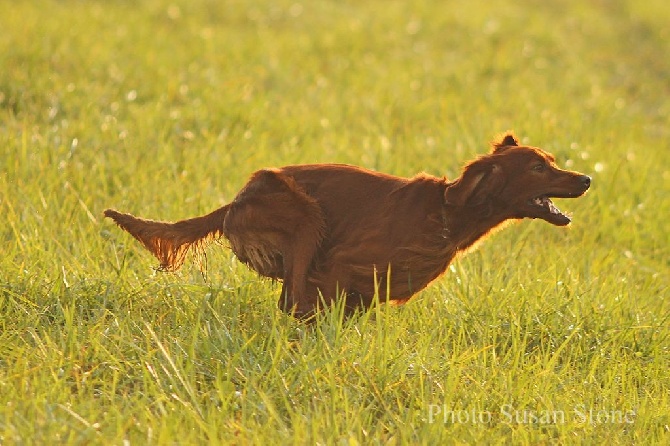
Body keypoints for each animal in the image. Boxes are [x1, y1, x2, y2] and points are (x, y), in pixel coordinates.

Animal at [106, 132, 592, 318]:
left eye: (551, 161)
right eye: (538, 167)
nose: (586, 179)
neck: (450, 214)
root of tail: (235, 201)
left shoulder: (365, 292)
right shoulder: (340, 267)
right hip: (304, 216)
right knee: (291, 299)